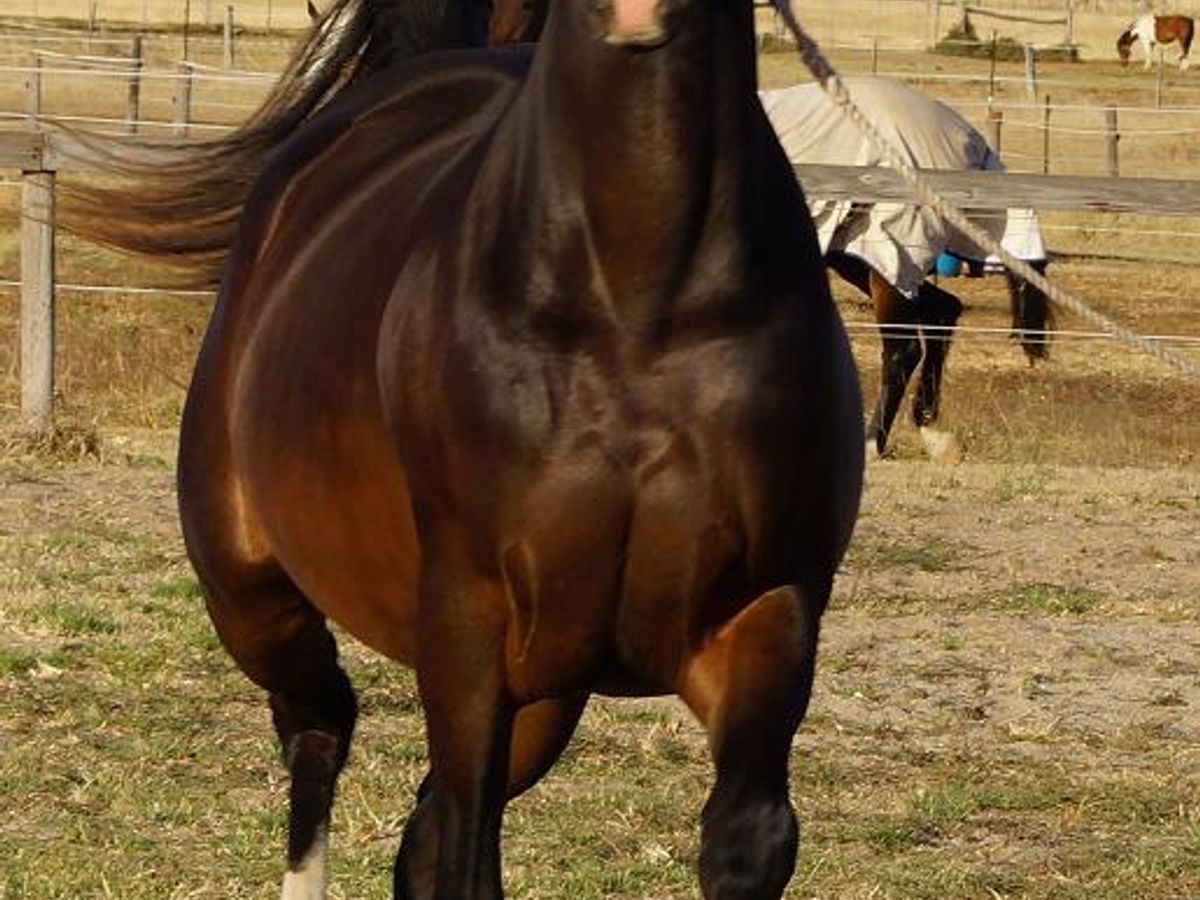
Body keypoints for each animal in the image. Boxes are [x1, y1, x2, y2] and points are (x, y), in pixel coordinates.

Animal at [61, 0, 864, 896]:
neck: (636, 304)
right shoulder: (468, 616)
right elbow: (466, 844)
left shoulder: (766, 607)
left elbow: (746, 839)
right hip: (247, 589)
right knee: (320, 725)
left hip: (546, 690)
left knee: (418, 824)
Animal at [761, 77, 1053, 462]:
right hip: (863, 259)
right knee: (942, 312)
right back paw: (930, 428)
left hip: (887, 260)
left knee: (903, 350)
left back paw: (875, 441)